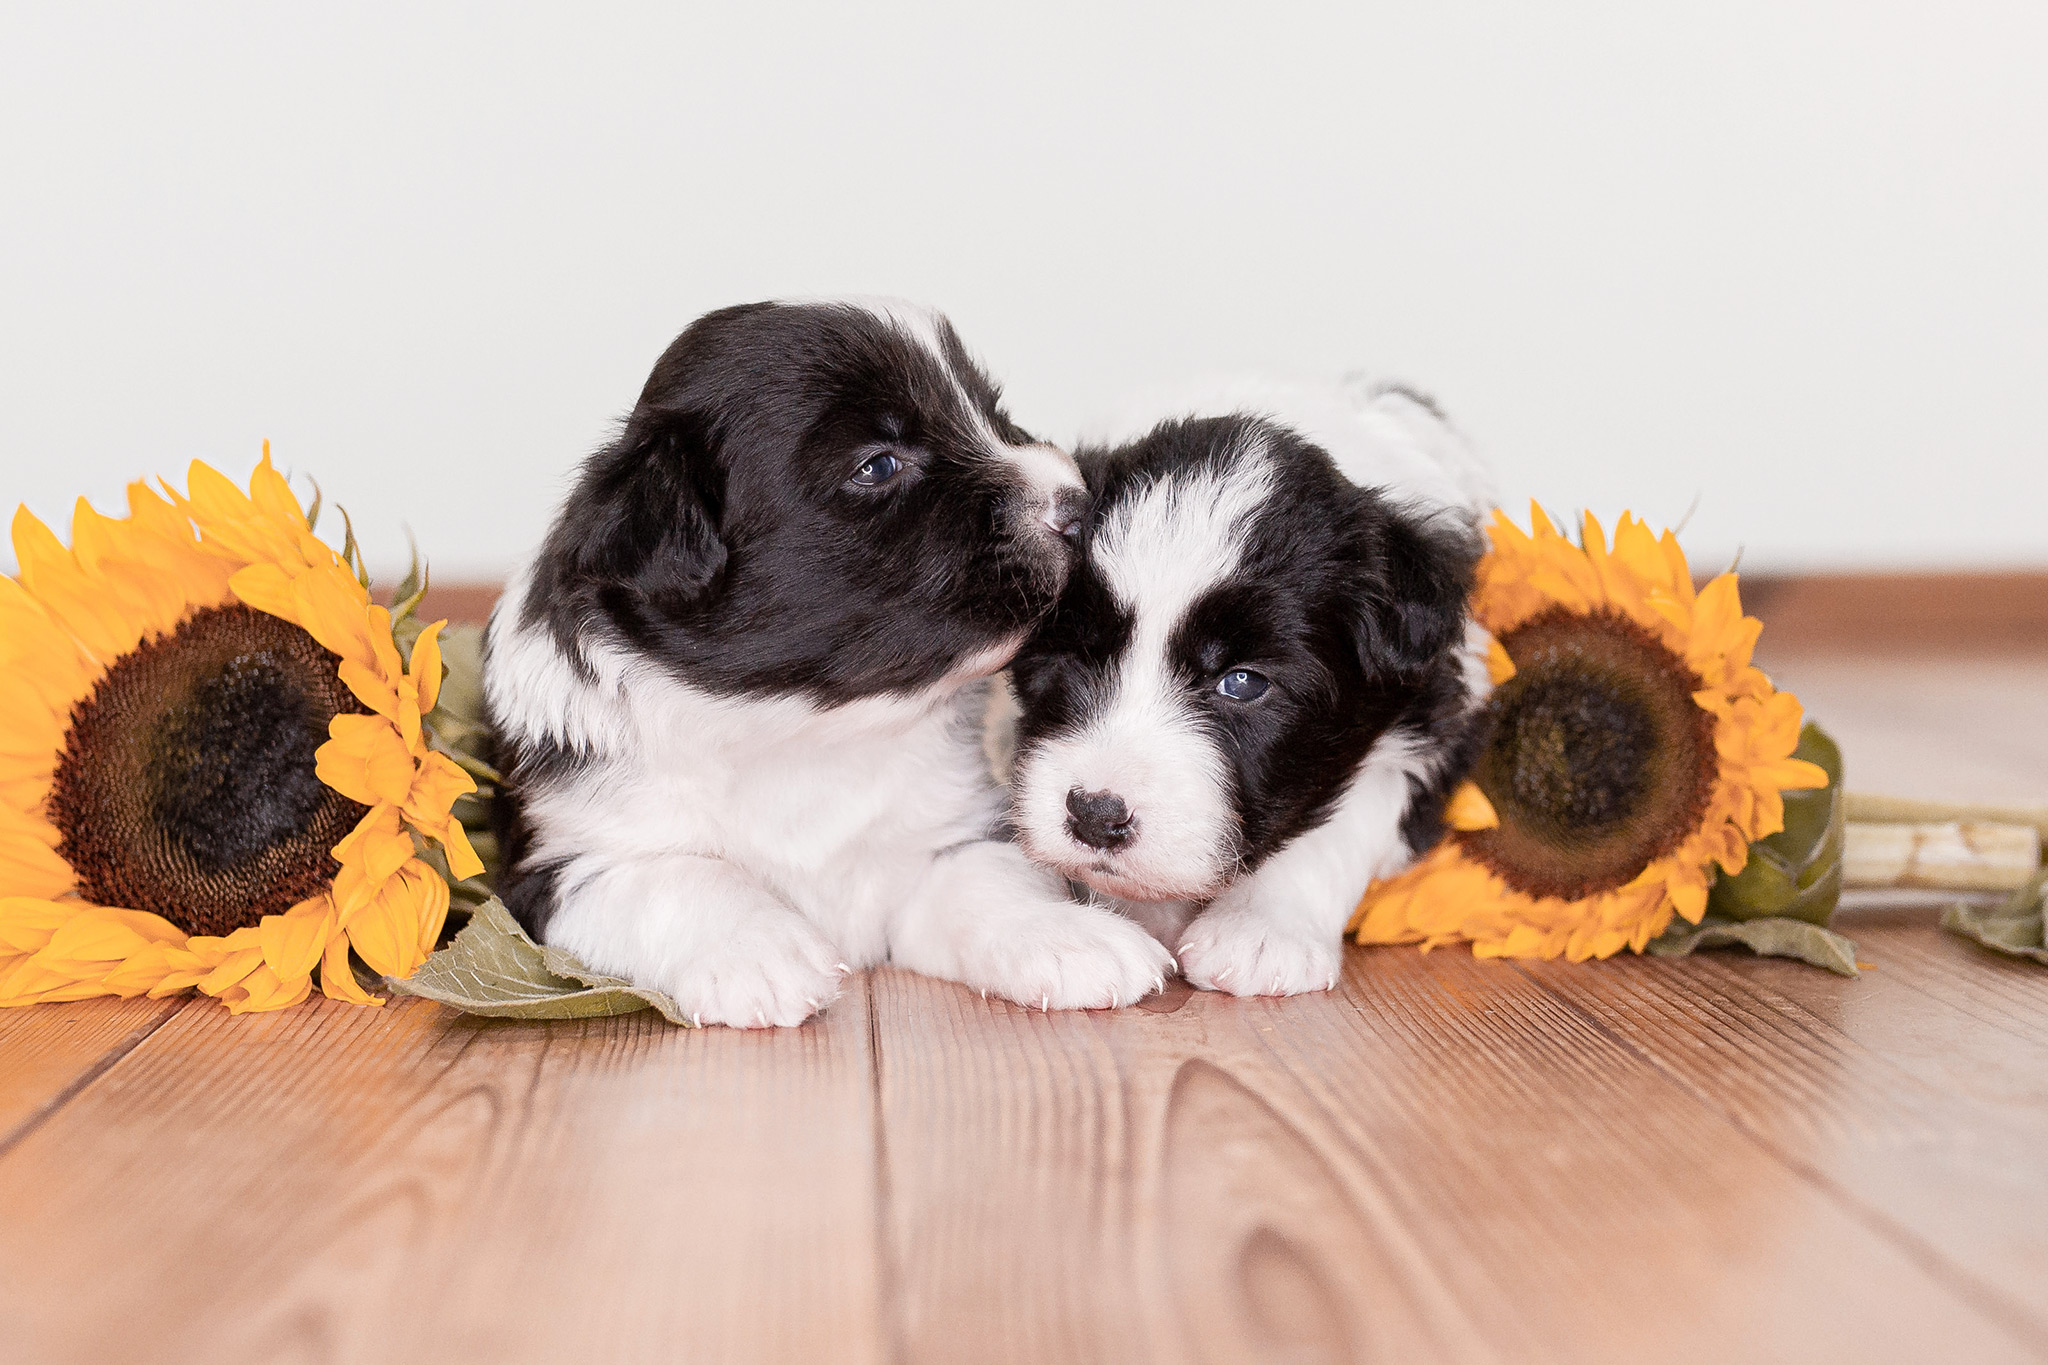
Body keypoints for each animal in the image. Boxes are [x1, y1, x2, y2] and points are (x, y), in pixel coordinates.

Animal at [483, 298, 1187, 1023]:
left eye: (992, 412)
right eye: (877, 465)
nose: (1078, 502)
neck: (806, 726)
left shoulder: (950, 835)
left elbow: (992, 881)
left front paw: (1067, 935)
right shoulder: (559, 862)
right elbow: (674, 875)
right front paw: (757, 951)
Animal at [1003, 378, 1490, 998]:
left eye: (1242, 682)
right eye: (1074, 654)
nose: (1095, 815)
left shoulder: (1433, 717)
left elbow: (1347, 818)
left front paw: (1260, 930)